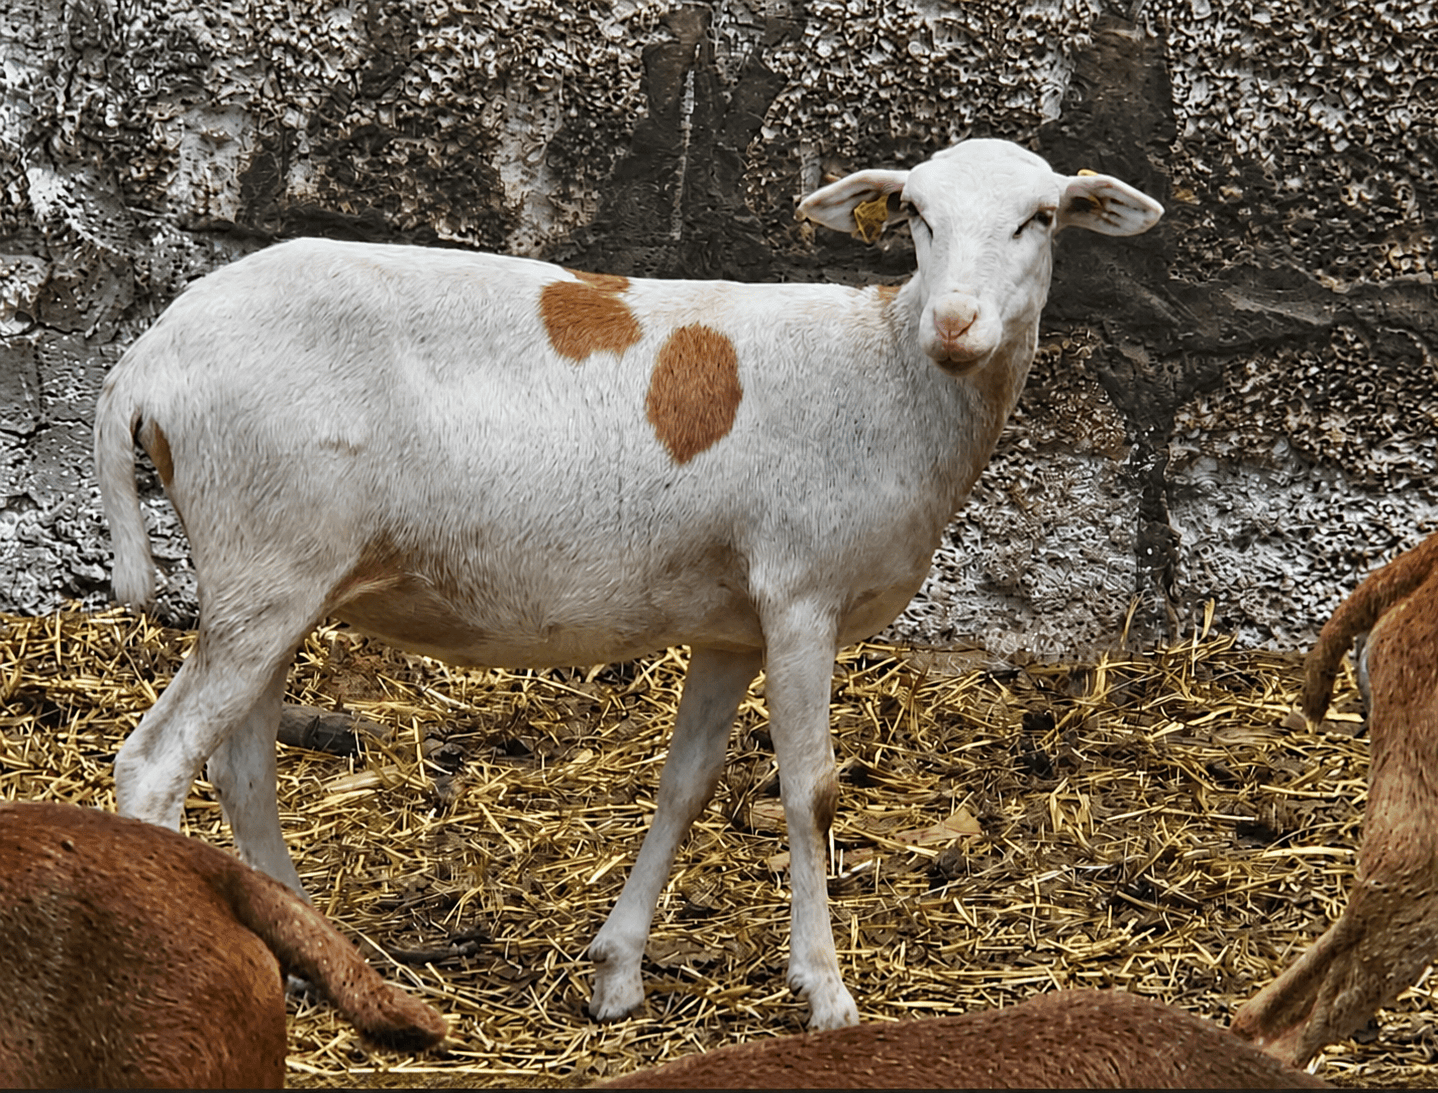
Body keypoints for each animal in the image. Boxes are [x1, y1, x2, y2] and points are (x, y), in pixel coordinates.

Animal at [94, 137, 1163, 1031]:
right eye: (915, 215)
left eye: (1040, 217)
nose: (956, 322)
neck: (889, 375)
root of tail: (147, 357)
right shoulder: (801, 593)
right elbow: (810, 789)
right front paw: (825, 992)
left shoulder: (734, 625)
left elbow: (686, 784)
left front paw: (617, 972)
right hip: (267, 555)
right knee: (156, 763)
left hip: (276, 573)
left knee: (241, 768)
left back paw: (319, 954)